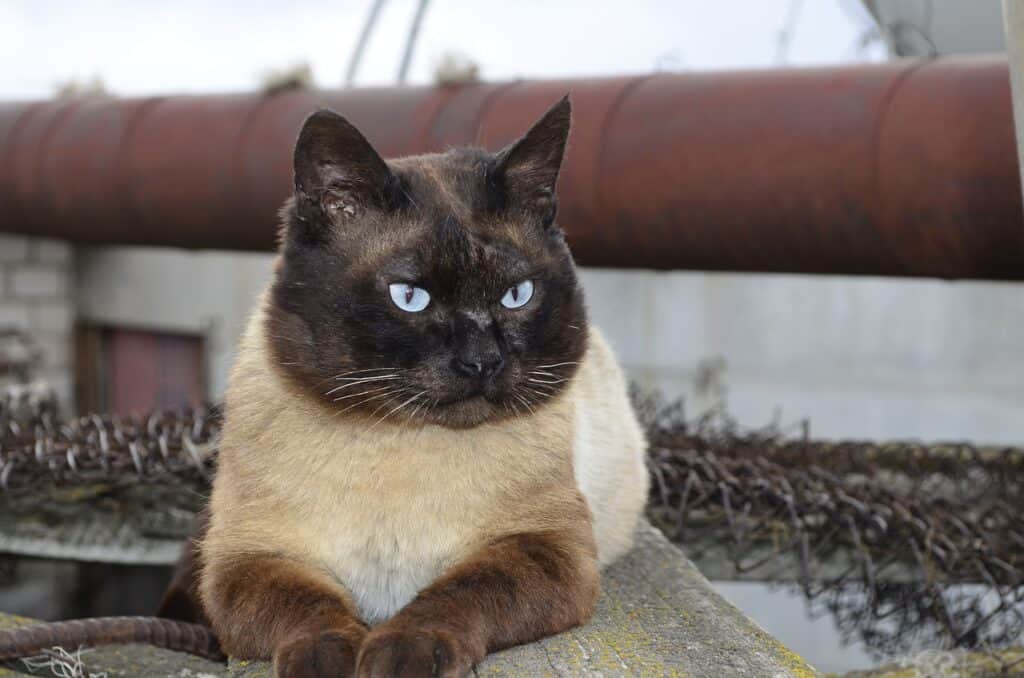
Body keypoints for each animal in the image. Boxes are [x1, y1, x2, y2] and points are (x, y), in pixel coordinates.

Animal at [197, 96, 647, 678]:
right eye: (410, 297)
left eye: (516, 295)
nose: (482, 362)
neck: (399, 443)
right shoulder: (248, 559)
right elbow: (311, 609)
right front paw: (332, 659)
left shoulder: (547, 548)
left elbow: (461, 591)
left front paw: (400, 653)